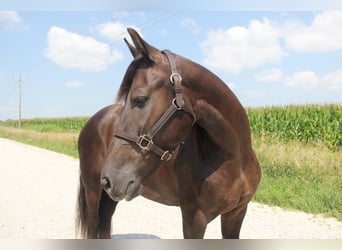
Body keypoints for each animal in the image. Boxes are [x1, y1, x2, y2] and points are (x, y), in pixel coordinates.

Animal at [76, 28, 260, 239]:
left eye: (140, 99)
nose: (109, 178)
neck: (233, 160)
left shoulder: (236, 213)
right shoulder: (194, 220)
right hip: (93, 190)